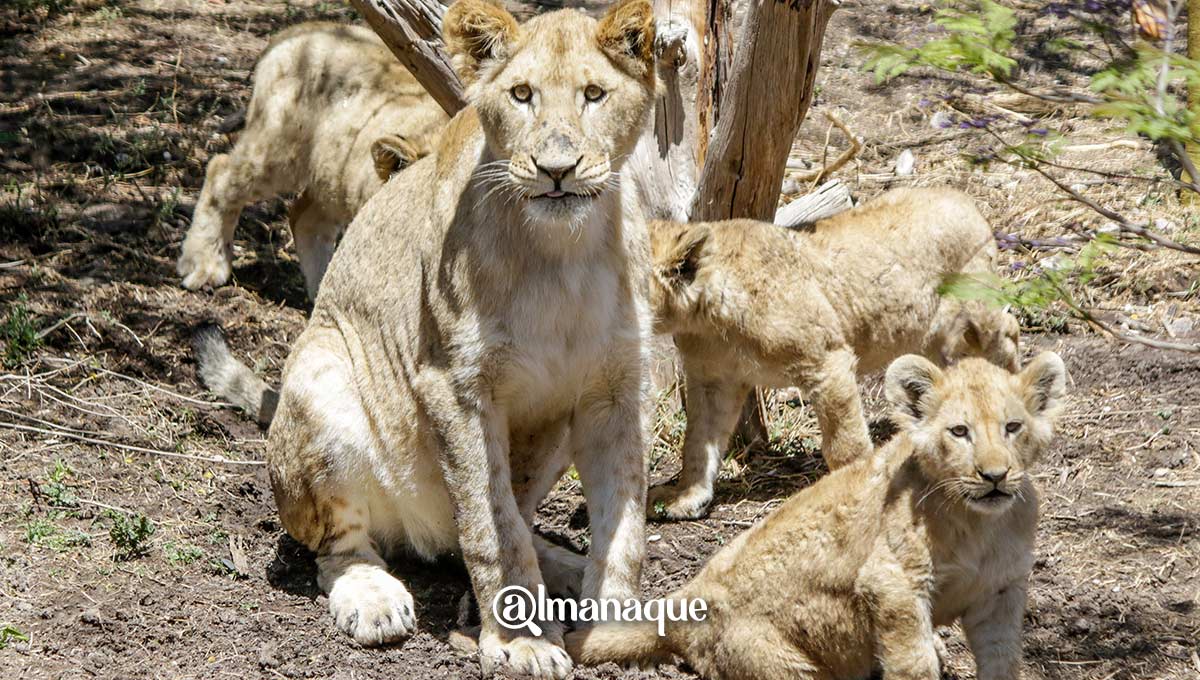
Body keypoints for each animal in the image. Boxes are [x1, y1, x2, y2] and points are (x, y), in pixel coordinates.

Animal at [177, 22, 447, 298]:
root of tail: (300, 29)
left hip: (333, 175)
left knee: (304, 217)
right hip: (278, 152)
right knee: (220, 171)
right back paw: (204, 265)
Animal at [568, 352, 1068, 680]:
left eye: (1012, 427)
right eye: (959, 432)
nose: (994, 476)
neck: (981, 524)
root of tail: (683, 601)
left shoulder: (1000, 592)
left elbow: (1003, 659)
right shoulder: (890, 584)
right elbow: (914, 661)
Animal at [646, 187, 1022, 520]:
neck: (706, 318)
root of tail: (964, 199)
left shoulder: (827, 361)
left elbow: (845, 443)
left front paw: (853, 488)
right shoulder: (713, 379)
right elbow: (698, 442)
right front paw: (685, 496)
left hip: (972, 315)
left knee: (1008, 329)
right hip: (929, 334)